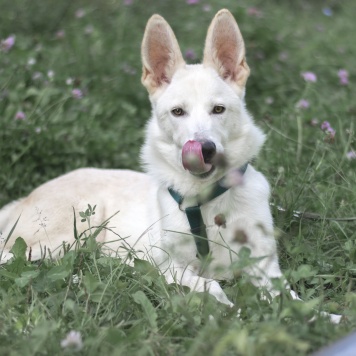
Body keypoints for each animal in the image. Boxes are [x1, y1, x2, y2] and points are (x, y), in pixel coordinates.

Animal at [0, 9, 342, 318]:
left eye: (219, 109)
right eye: (178, 112)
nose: (204, 149)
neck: (206, 202)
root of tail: (23, 200)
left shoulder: (265, 268)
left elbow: (291, 298)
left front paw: (328, 319)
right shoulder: (169, 267)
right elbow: (212, 286)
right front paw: (232, 312)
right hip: (69, 232)